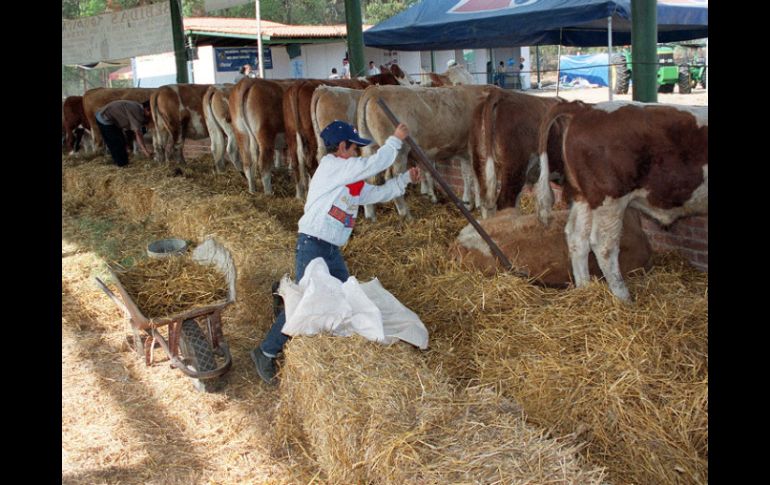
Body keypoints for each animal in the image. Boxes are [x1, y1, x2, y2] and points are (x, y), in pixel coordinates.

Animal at [356, 83, 492, 219]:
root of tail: (374, 90)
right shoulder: (472, 149)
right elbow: (475, 176)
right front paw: (478, 204)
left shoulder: (463, 151)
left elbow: (466, 174)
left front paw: (468, 202)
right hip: (399, 151)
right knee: (392, 177)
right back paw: (406, 214)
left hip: (369, 145)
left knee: (367, 177)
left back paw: (371, 215)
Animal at [532, 100, 704, 300]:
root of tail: (585, 107)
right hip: (611, 198)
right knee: (604, 245)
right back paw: (623, 298)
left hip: (585, 198)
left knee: (577, 238)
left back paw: (585, 289)